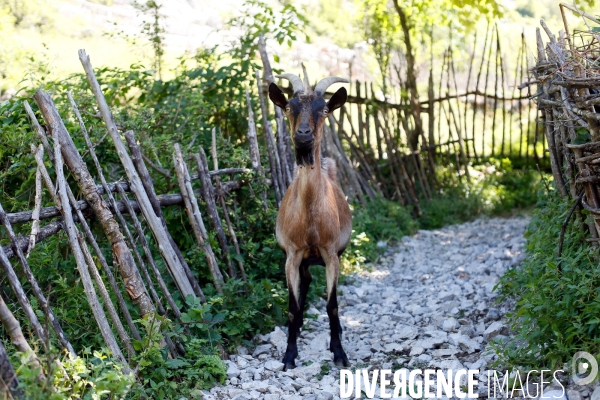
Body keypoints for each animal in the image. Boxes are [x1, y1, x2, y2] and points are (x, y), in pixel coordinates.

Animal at [268, 74, 352, 368]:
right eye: (288, 107)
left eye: (324, 109)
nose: (303, 135)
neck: (311, 222)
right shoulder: (292, 255)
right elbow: (292, 307)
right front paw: (289, 355)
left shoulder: (331, 254)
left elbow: (332, 305)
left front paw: (339, 352)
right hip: (302, 259)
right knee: (305, 282)